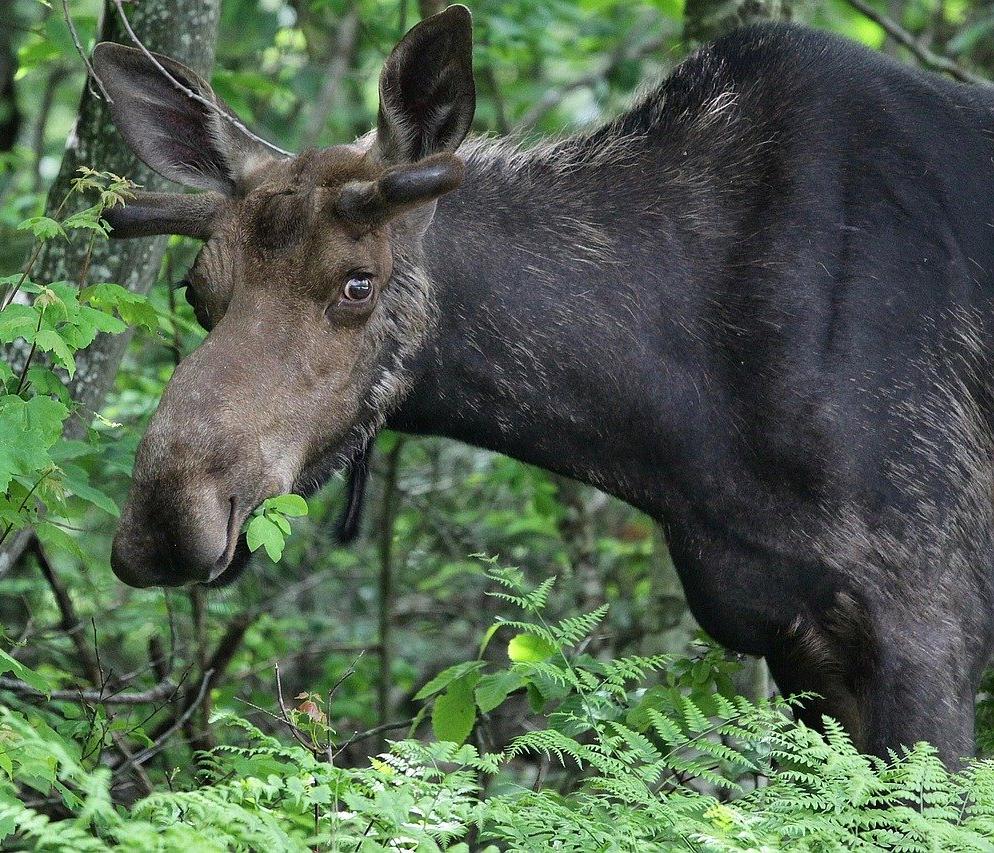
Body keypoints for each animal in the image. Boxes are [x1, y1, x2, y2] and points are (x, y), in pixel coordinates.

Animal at [95, 6, 994, 764]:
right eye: (195, 292)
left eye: (357, 283)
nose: (165, 512)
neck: (680, 434)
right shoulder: (796, 644)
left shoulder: (927, 625)